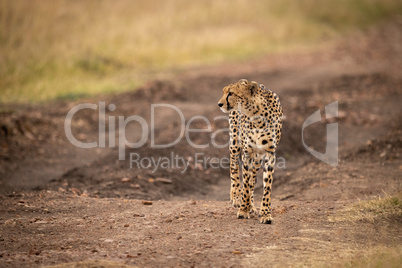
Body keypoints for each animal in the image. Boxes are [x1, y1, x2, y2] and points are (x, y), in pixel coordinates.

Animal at [220, 79, 282, 224]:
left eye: (231, 93)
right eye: (225, 92)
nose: (219, 104)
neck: (257, 116)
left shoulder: (270, 153)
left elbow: (266, 185)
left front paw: (265, 213)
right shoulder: (247, 152)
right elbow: (246, 183)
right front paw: (243, 209)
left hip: (258, 157)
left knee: (253, 176)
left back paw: (252, 206)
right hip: (235, 143)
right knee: (234, 167)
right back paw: (236, 196)